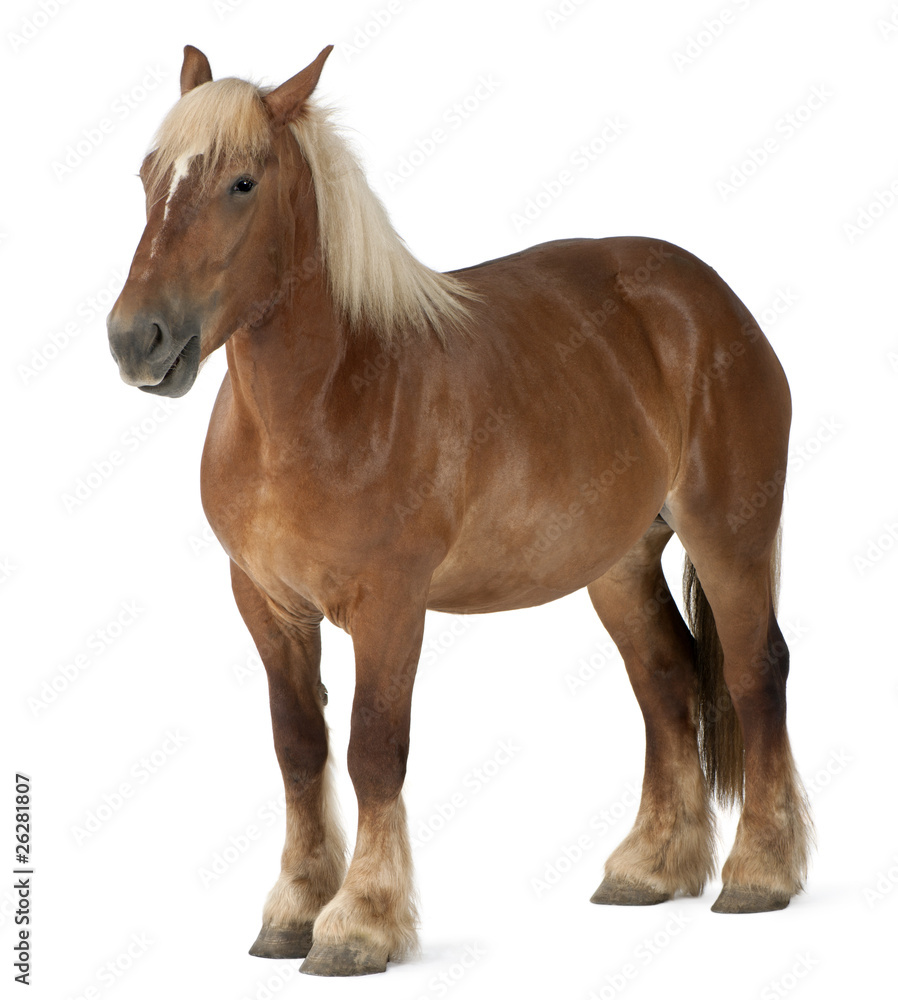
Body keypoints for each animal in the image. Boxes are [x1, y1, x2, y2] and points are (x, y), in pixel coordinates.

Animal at [106, 44, 812, 977]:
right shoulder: (266, 604)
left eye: (243, 183)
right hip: (619, 562)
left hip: (731, 532)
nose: (136, 340)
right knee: (664, 680)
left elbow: (374, 749)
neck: (329, 398)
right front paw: (292, 910)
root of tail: (708, 299)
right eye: (150, 173)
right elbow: (299, 750)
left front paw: (358, 923)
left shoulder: (390, 605)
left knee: (754, 671)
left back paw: (760, 873)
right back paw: (650, 867)